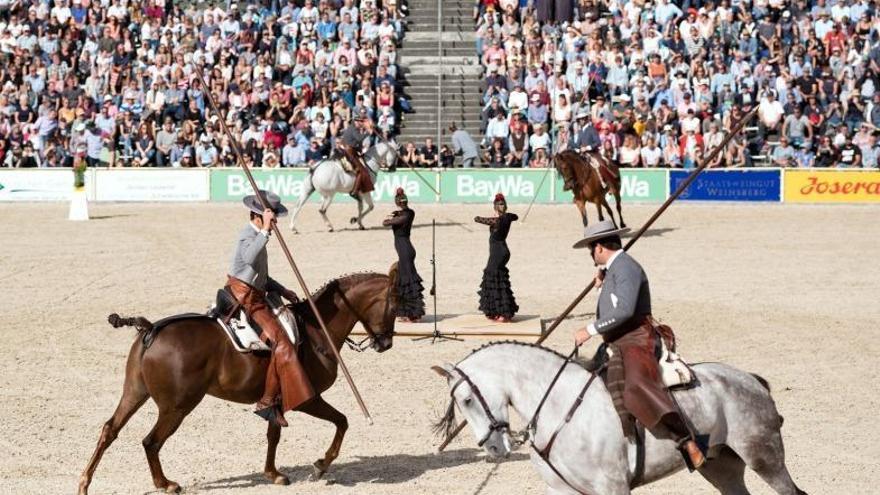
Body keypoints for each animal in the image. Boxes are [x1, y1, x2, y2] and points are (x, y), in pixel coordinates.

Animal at [77, 268, 400, 495]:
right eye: (395, 306)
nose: (385, 344)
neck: (315, 330)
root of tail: (151, 328)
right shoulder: (307, 398)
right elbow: (342, 421)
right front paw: (321, 465)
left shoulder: (276, 401)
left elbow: (273, 434)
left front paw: (274, 473)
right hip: (177, 407)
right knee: (151, 441)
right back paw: (165, 483)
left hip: (135, 392)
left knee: (110, 430)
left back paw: (84, 482)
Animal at [430, 342, 808, 495]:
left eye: (467, 399)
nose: (493, 448)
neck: (560, 408)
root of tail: (751, 379)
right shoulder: (561, 489)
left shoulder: (612, 486)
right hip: (721, 465)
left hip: (765, 458)